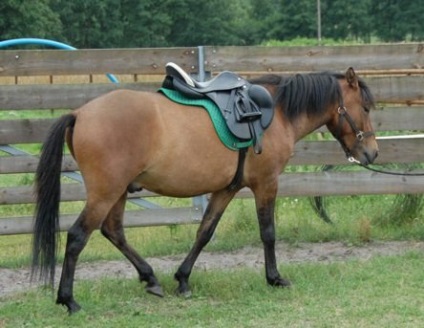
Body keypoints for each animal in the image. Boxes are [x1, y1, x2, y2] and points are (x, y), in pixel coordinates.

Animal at [32, 66, 378, 312]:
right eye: (366, 108)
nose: (372, 153)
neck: (276, 112)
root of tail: (80, 113)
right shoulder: (266, 184)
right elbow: (268, 233)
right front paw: (275, 278)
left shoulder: (226, 189)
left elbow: (204, 232)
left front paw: (183, 279)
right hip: (105, 193)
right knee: (78, 236)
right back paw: (69, 300)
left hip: (116, 193)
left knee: (113, 231)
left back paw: (150, 278)